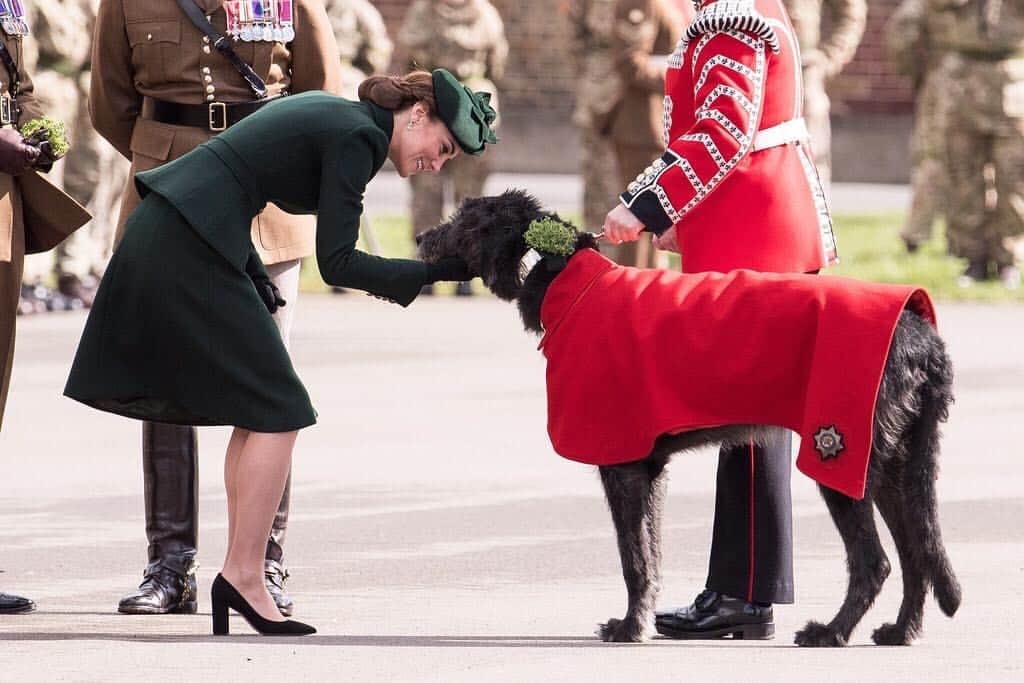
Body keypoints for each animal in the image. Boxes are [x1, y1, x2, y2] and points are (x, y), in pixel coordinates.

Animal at [415, 188, 958, 647]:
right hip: (892, 465)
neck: (558, 273)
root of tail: (921, 335)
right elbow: (650, 551)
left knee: (875, 562)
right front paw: (641, 619)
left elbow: (633, 556)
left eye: (462, 221)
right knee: (916, 554)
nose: (419, 237)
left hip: (842, 455)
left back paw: (831, 632)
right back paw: (898, 631)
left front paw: (629, 627)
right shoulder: (649, 468)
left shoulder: (622, 464)